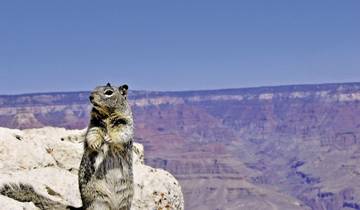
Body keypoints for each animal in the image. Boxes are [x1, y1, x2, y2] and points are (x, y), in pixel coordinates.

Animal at [0, 83, 134, 209]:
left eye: (109, 92)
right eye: (95, 88)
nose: (90, 97)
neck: (107, 116)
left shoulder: (124, 123)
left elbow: (122, 134)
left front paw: (109, 138)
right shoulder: (94, 125)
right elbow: (92, 134)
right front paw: (95, 144)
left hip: (124, 201)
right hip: (98, 200)